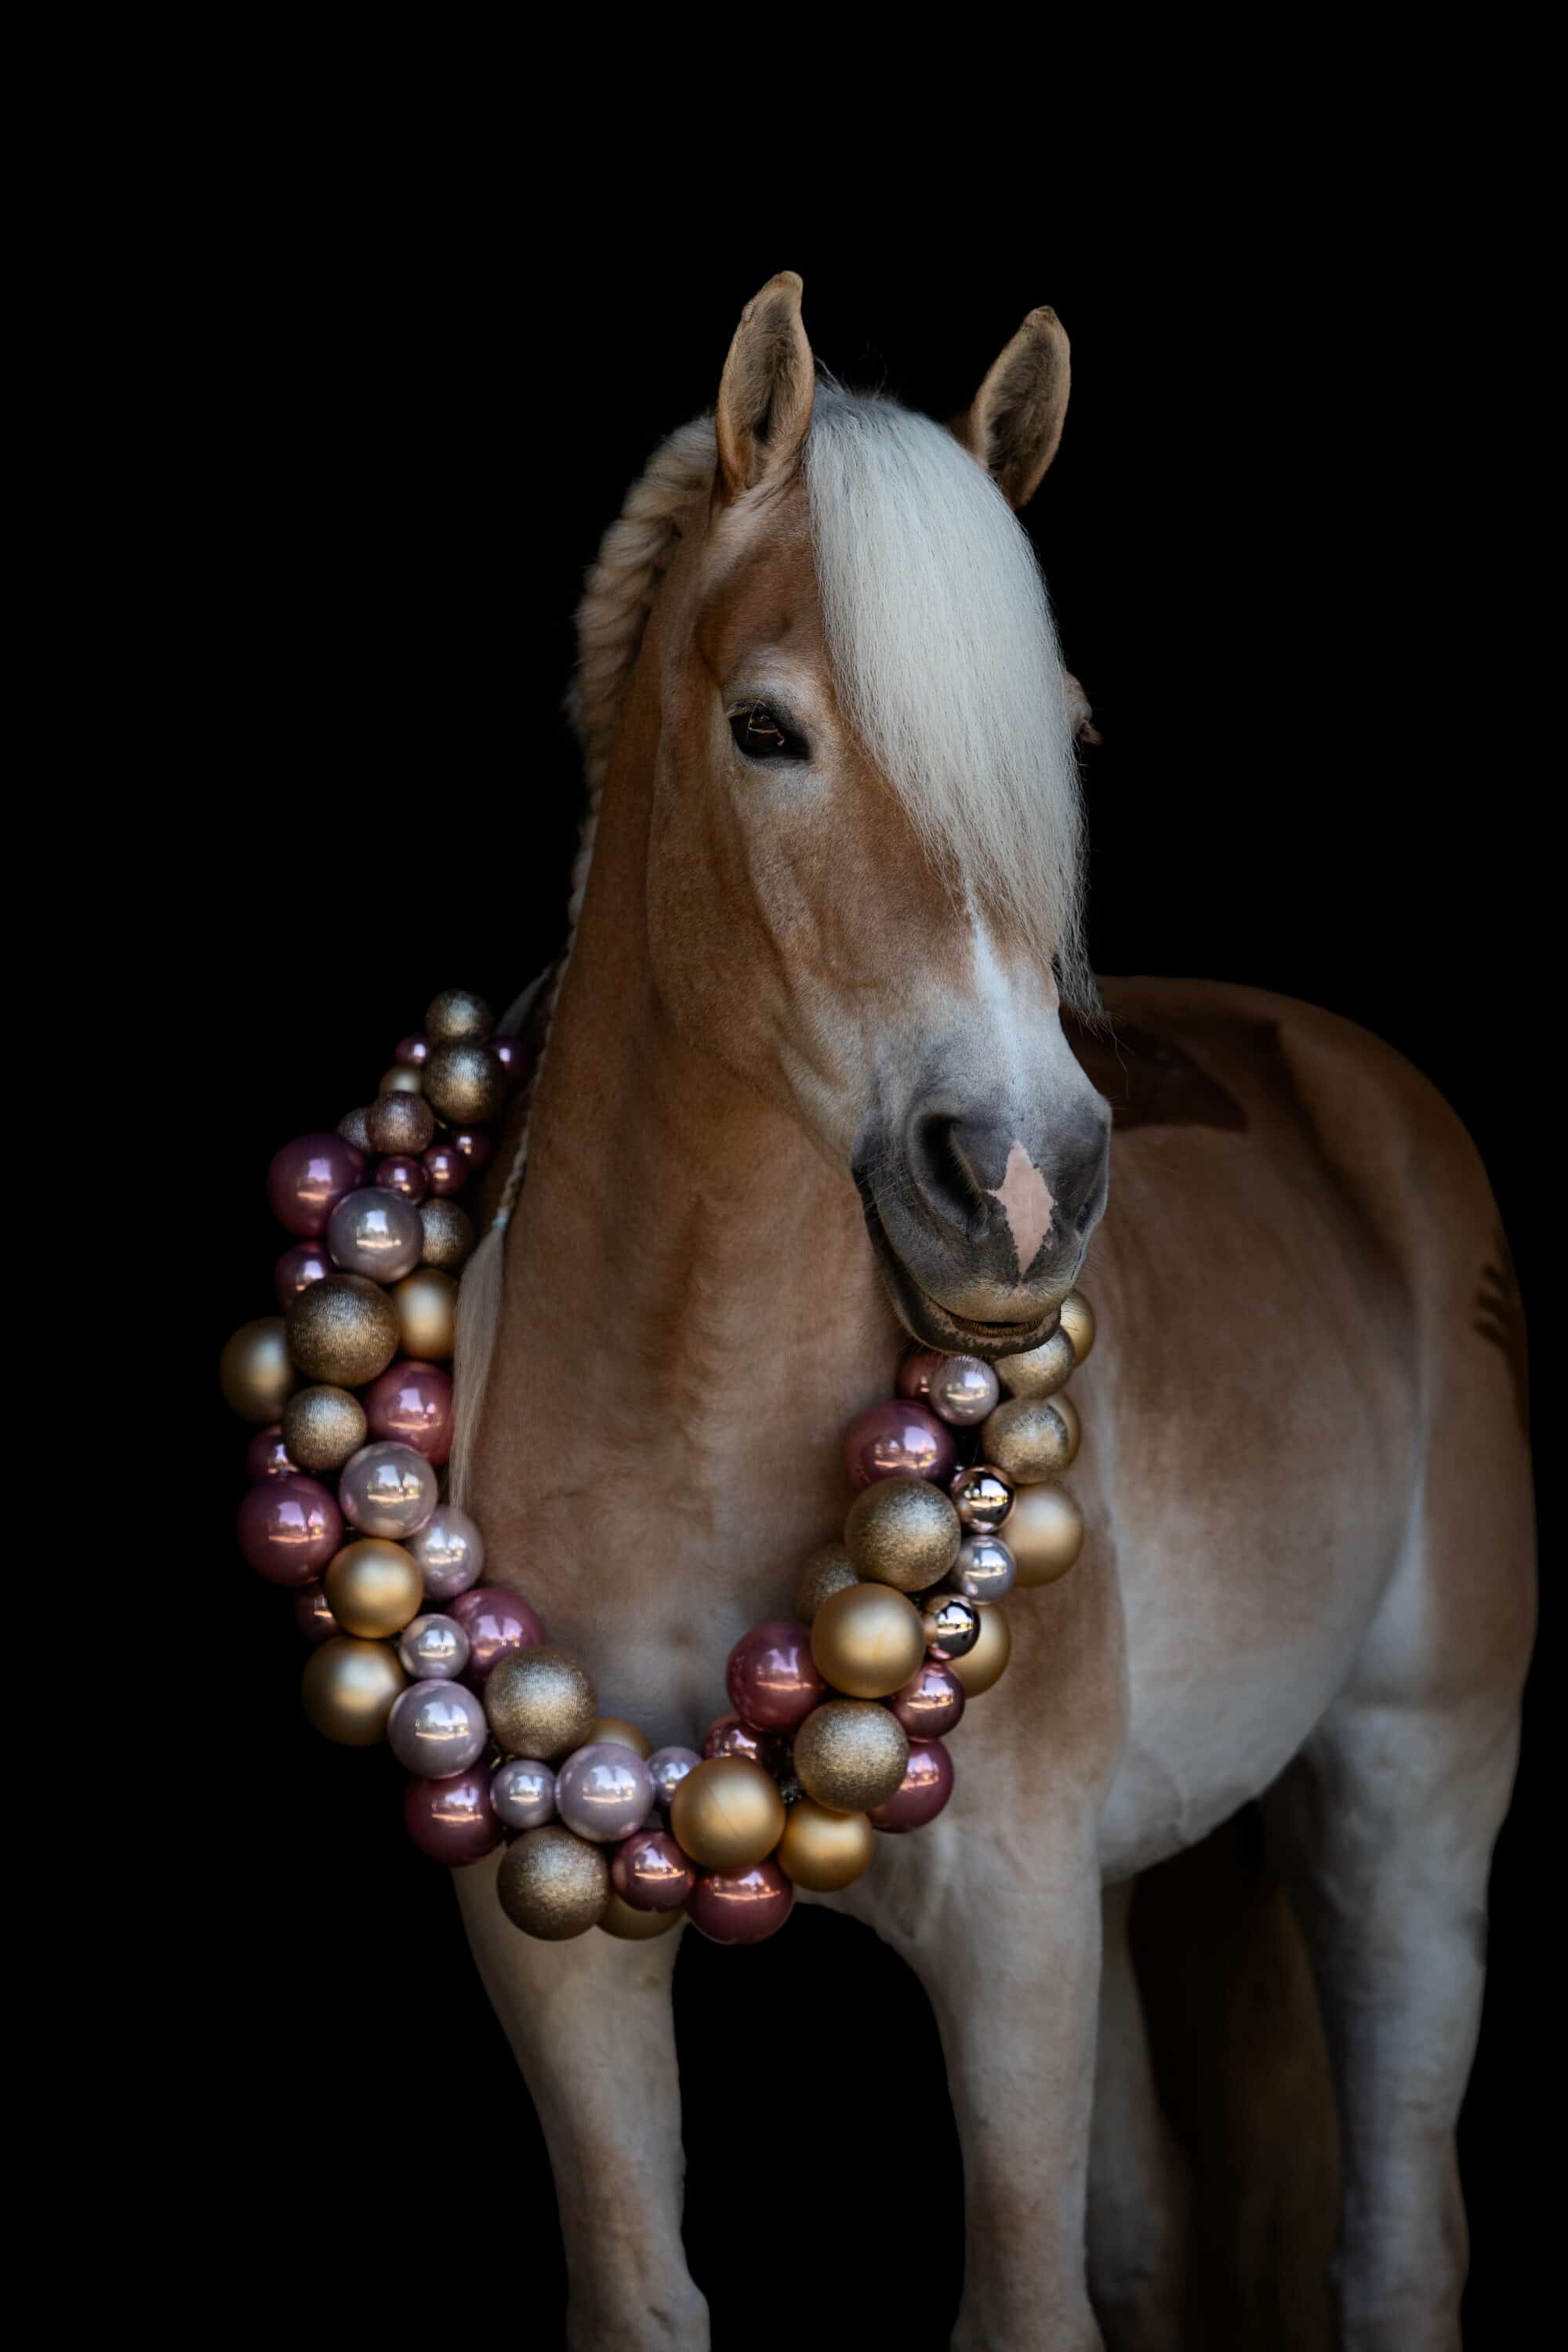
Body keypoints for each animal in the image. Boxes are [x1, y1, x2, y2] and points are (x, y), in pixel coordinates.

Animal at [450, 273, 1535, 2350]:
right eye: (766, 729)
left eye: (1064, 735)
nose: (1019, 1179)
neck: (678, 1407)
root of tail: (1346, 1080)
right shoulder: (554, 1949)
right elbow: (648, 2293)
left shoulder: (1010, 1923)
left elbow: (1027, 2301)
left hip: (1412, 1783)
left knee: (1397, 2238)